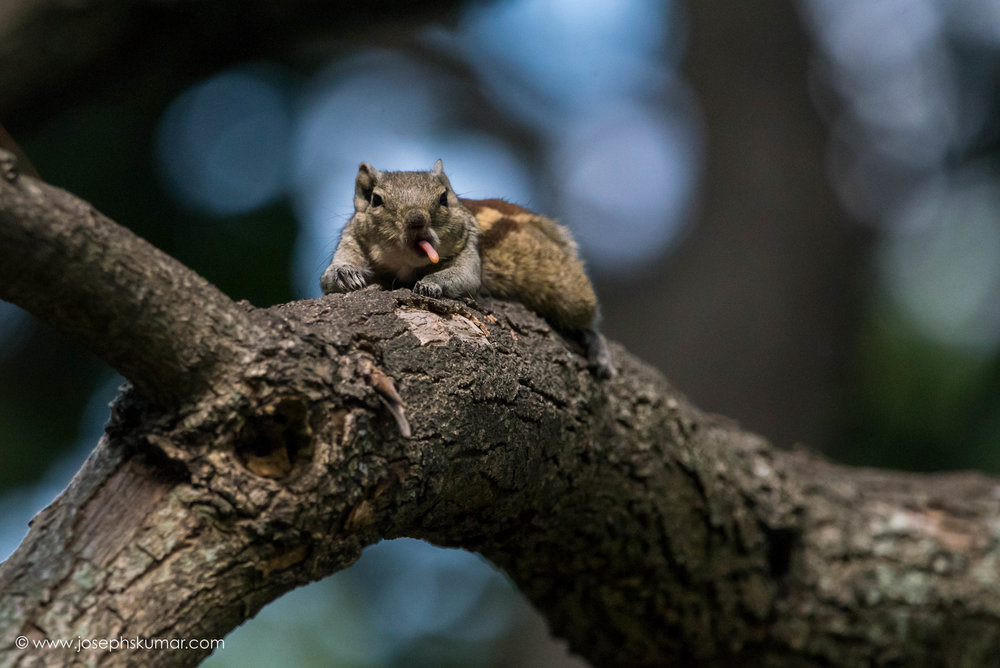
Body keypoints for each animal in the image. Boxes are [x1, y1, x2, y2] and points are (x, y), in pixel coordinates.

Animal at [320, 160, 616, 378]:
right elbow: (329, 278)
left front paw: (430, 284)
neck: (406, 264)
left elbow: (464, 275)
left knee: (588, 320)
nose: (416, 219)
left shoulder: (469, 249)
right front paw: (343, 274)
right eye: (376, 200)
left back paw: (598, 348)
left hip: (570, 294)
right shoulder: (350, 240)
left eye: (443, 198)